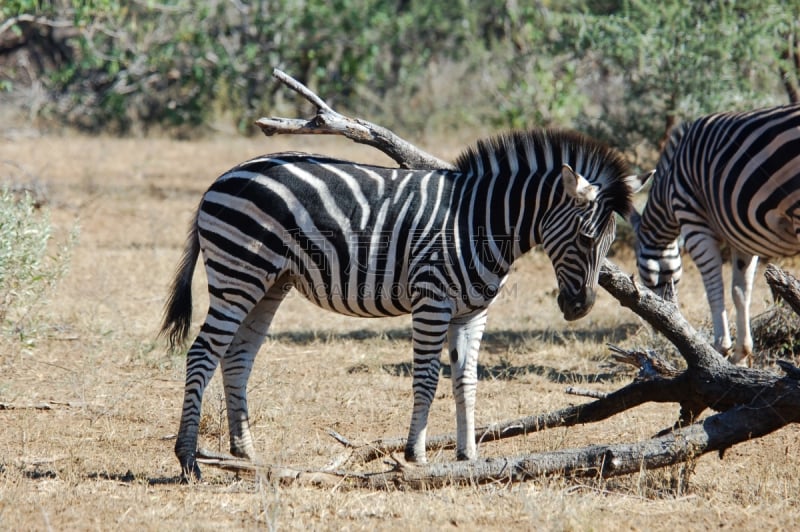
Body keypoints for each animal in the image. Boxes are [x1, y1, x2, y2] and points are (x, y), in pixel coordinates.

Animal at [162, 128, 636, 478]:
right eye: (586, 238)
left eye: (612, 241)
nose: (580, 308)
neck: (478, 222)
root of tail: (223, 177)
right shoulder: (433, 301)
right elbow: (426, 379)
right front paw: (416, 456)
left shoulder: (472, 312)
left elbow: (466, 380)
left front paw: (469, 456)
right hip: (238, 273)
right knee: (202, 353)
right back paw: (188, 460)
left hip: (269, 282)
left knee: (237, 357)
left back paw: (245, 453)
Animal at [632, 104, 800, 366]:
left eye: (642, 274)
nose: (659, 325)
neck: (668, 189)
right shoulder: (743, 237)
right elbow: (741, 292)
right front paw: (742, 353)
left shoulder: (694, 224)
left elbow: (714, 289)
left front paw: (721, 348)